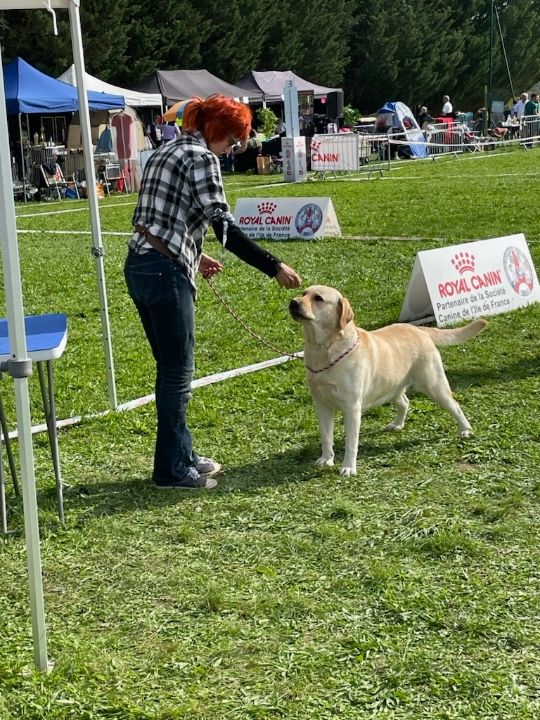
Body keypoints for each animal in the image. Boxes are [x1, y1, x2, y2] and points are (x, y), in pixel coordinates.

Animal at [292, 284, 490, 476]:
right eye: (304, 293)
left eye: (318, 298)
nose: (293, 302)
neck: (322, 350)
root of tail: (419, 329)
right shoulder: (321, 404)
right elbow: (326, 437)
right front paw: (326, 459)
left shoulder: (352, 407)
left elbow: (351, 443)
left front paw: (348, 467)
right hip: (392, 385)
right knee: (405, 402)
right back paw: (397, 424)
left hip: (434, 385)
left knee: (455, 405)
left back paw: (465, 430)